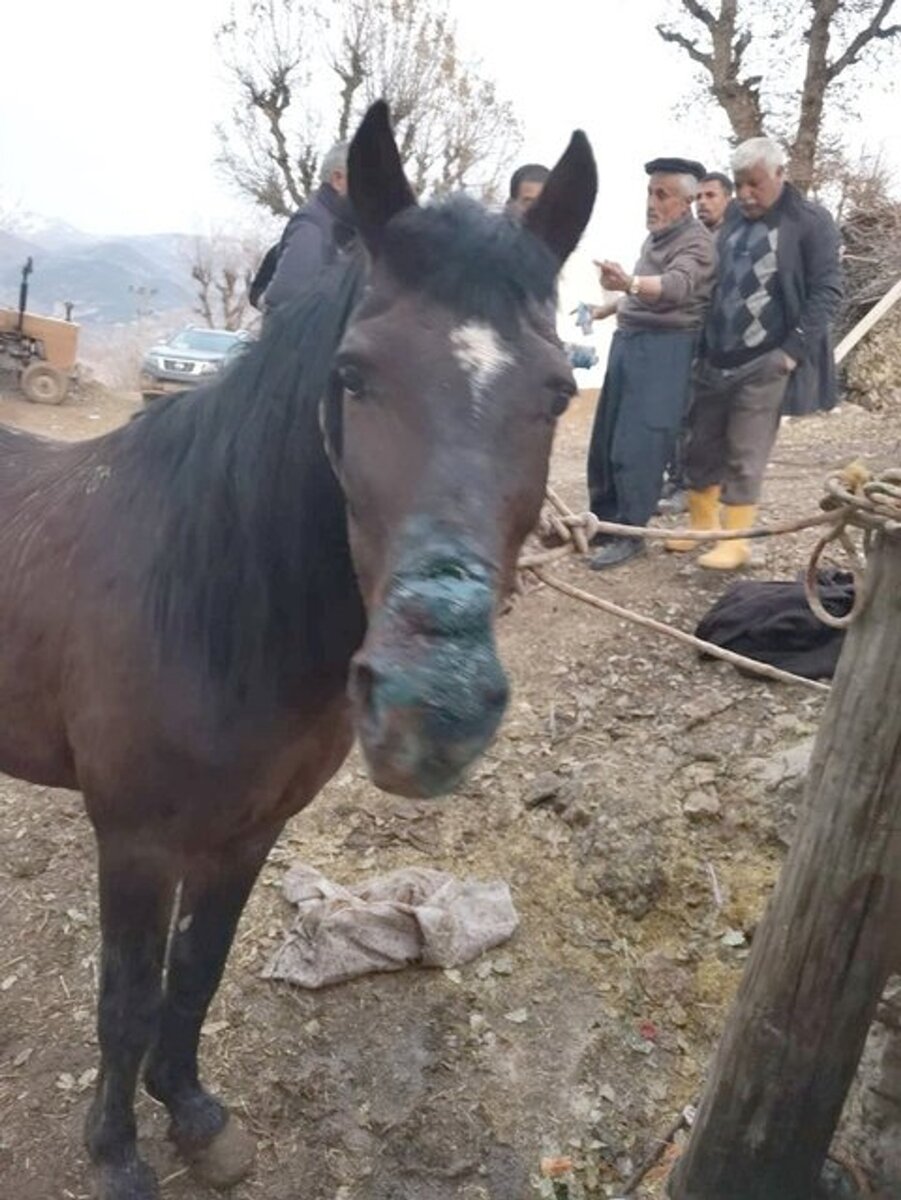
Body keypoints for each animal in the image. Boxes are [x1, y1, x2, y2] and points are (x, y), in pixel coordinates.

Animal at [0, 102, 596, 1200]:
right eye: (351, 375)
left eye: (554, 394)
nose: (429, 709)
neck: (207, 603)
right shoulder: (135, 841)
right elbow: (124, 1000)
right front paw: (117, 1156)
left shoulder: (251, 830)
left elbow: (196, 973)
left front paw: (194, 1115)